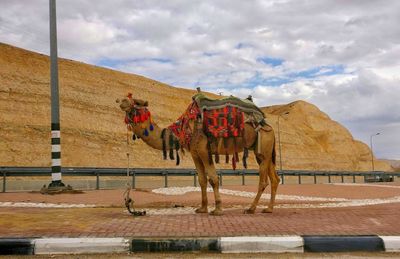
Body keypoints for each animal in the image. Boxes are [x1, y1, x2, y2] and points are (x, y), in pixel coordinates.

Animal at [115, 92, 278, 216]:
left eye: (136, 102)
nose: (120, 100)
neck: (183, 129)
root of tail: (268, 126)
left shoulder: (204, 150)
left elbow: (213, 179)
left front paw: (217, 210)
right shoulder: (195, 154)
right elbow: (202, 180)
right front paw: (202, 208)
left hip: (263, 147)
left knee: (263, 181)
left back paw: (251, 209)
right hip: (264, 151)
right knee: (275, 179)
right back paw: (268, 209)